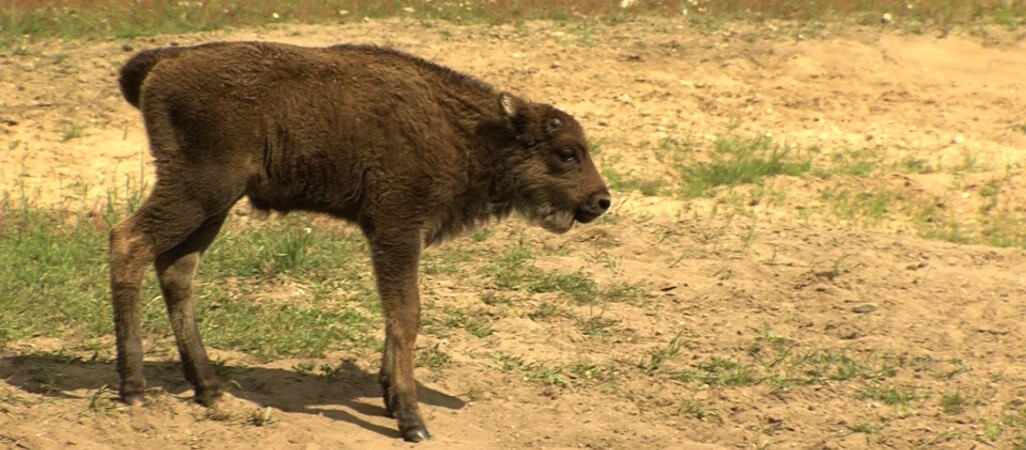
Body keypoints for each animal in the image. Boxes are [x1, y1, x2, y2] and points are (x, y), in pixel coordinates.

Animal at [110, 42, 607, 444]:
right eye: (566, 153)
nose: (600, 200)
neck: (470, 131)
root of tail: (167, 61)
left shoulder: (400, 238)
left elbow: (394, 316)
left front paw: (389, 396)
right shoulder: (396, 230)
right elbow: (406, 315)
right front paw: (412, 422)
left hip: (214, 205)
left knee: (177, 270)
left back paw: (209, 390)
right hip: (198, 190)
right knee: (129, 242)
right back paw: (134, 389)